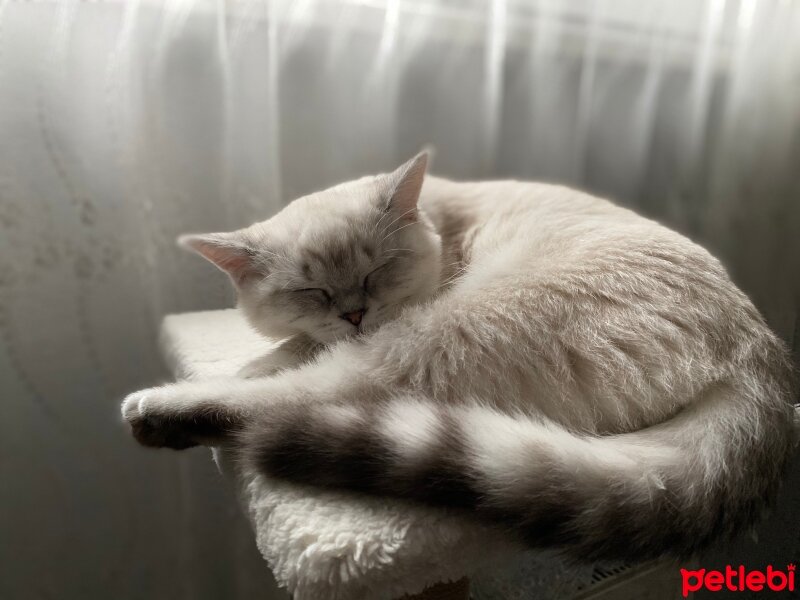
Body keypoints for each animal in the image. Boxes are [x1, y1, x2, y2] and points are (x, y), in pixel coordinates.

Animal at [122, 151, 796, 564]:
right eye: (312, 291)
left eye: (376, 271)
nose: (355, 314)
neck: (437, 222)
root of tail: (759, 360)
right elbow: (295, 342)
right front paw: (272, 350)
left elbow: (295, 360)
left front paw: (256, 365)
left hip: (433, 339)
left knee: (299, 400)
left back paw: (160, 410)